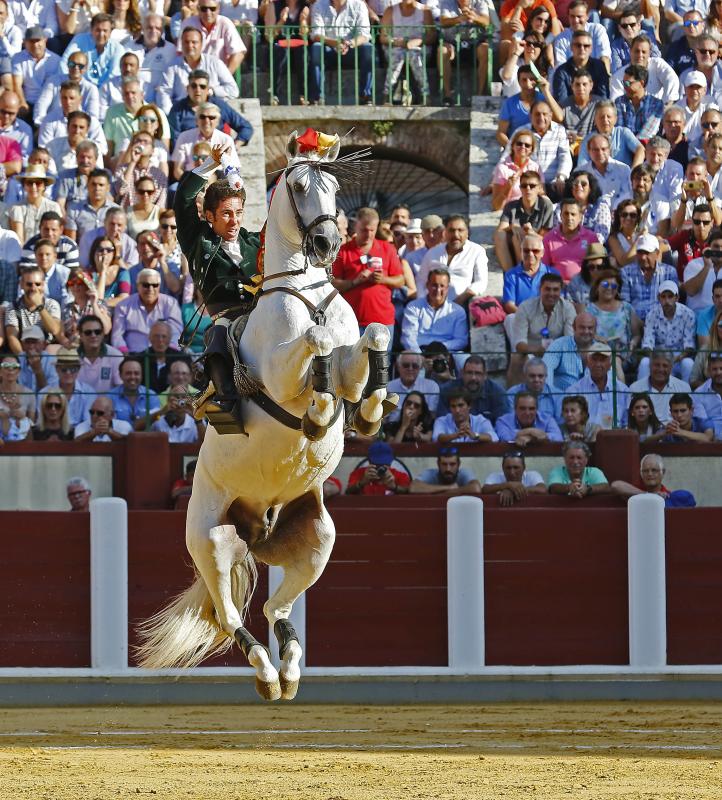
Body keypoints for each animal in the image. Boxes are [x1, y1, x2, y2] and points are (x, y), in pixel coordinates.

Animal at [137, 130, 390, 700]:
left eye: (333, 186)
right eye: (298, 186)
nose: (327, 244)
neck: (304, 291)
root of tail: (258, 530)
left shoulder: (352, 357)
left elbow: (370, 338)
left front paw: (367, 412)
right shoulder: (280, 371)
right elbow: (317, 345)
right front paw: (318, 414)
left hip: (317, 538)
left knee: (278, 607)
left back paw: (291, 669)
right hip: (211, 540)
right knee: (232, 616)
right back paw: (268, 675)